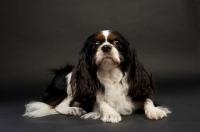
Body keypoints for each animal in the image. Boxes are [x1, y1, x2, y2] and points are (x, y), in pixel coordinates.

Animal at [23, 29, 170, 122]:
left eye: (117, 43)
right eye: (96, 44)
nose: (105, 47)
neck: (111, 75)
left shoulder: (139, 90)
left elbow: (148, 100)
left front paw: (154, 111)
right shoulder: (91, 95)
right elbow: (101, 102)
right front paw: (111, 113)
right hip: (71, 81)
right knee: (58, 106)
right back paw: (74, 110)